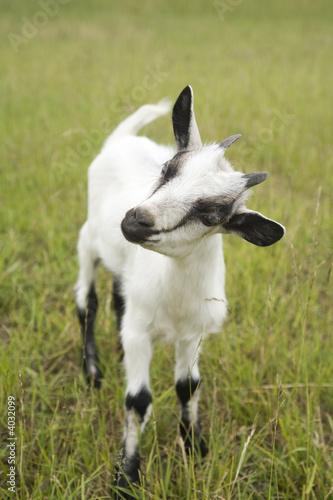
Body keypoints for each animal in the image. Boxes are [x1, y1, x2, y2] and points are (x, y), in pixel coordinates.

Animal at [74, 86, 282, 496]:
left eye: (212, 214)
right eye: (166, 170)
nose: (135, 220)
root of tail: (122, 138)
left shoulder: (193, 334)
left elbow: (188, 386)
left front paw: (195, 448)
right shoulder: (141, 332)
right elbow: (138, 400)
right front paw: (127, 476)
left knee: (116, 296)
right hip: (88, 241)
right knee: (87, 302)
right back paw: (93, 370)